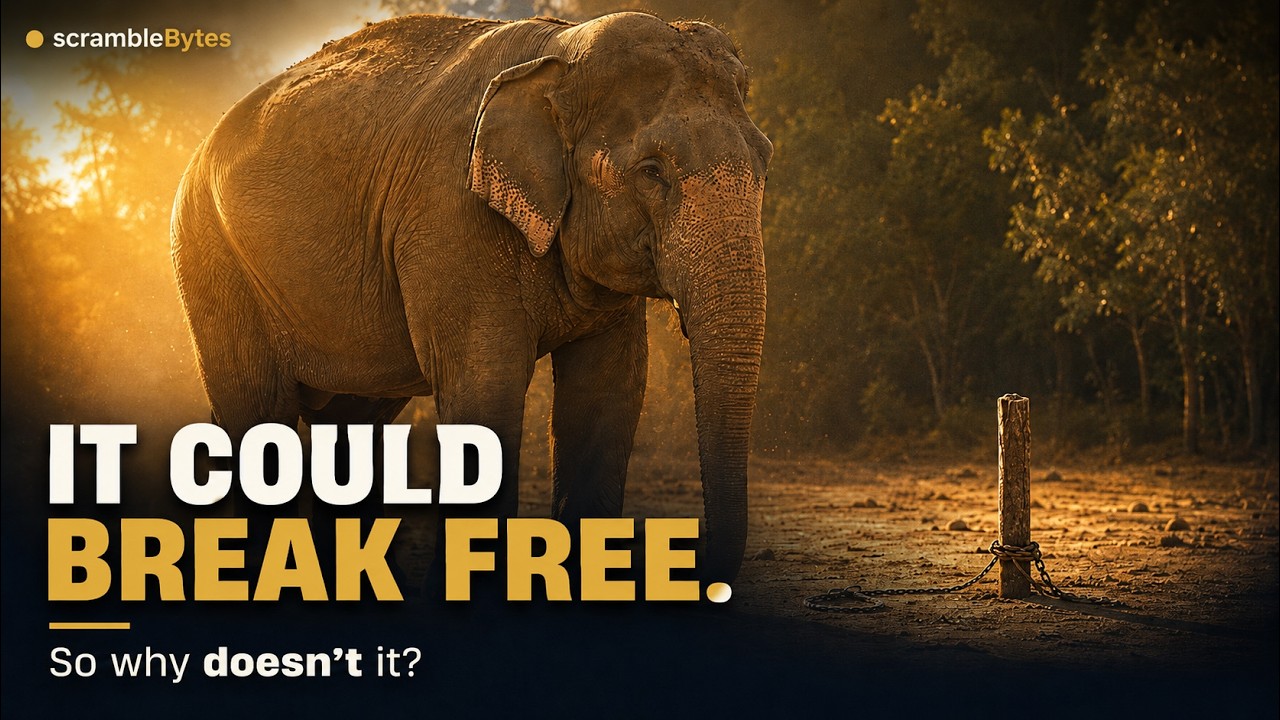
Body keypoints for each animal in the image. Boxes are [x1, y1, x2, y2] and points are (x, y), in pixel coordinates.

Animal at [170, 11, 772, 585]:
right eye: (651, 171)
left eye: (764, 161)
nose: (697, 567)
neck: (562, 54)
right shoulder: (450, 217)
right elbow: (485, 387)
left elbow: (606, 394)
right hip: (211, 260)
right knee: (262, 415)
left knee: (350, 423)